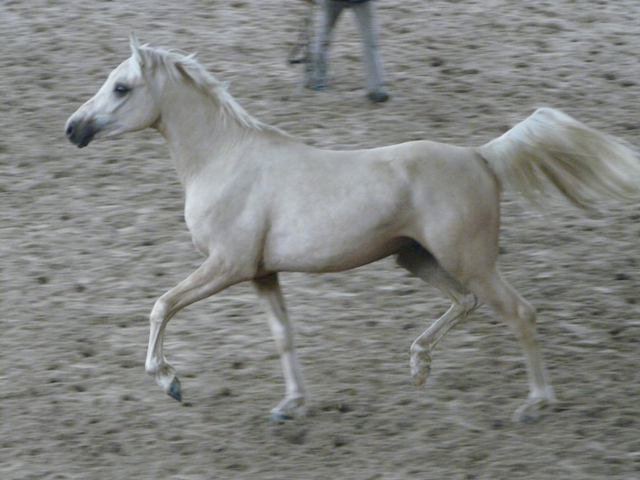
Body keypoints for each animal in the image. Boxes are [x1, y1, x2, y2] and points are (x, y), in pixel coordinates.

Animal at [65, 36, 640, 420]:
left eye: (122, 87)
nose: (73, 129)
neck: (224, 158)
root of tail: (481, 156)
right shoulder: (261, 274)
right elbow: (284, 336)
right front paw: (291, 405)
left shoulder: (226, 265)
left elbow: (161, 305)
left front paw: (170, 382)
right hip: (416, 258)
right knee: (466, 303)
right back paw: (419, 366)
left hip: (469, 260)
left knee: (519, 313)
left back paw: (536, 404)